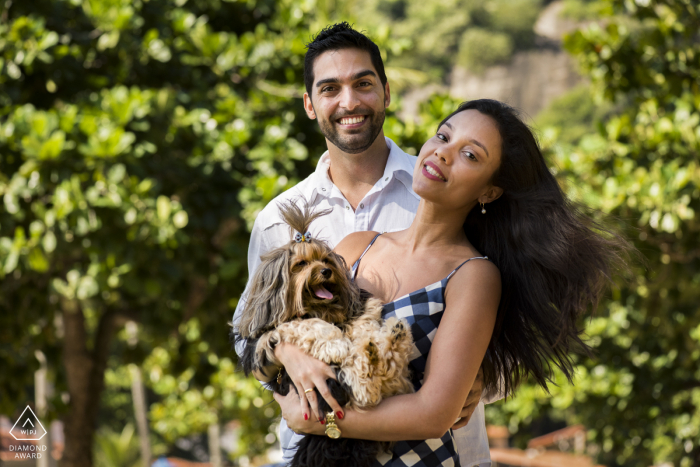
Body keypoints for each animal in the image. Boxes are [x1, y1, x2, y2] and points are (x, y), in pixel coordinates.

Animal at [234, 201, 416, 467]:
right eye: (301, 264)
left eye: (326, 259)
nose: (326, 271)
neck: (320, 309)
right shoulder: (261, 340)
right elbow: (299, 324)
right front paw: (336, 344)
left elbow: (361, 317)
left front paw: (364, 323)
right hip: (331, 386)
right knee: (365, 391)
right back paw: (375, 351)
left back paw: (390, 337)